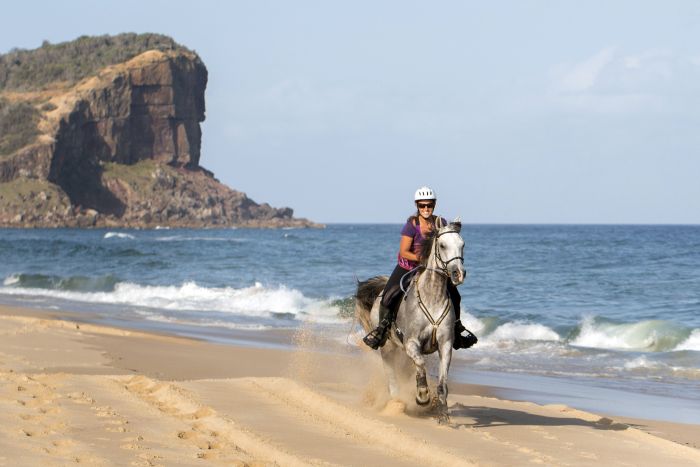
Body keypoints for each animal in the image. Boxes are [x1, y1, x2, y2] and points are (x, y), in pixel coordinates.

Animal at [356, 220, 464, 424]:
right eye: (442, 245)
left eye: (462, 245)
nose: (458, 274)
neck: (433, 296)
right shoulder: (411, 342)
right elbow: (420, 363)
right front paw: (422, 395)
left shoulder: (445, 344)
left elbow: (442, 382)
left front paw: (443, 415)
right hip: (388, 347)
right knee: (391, 376)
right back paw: (396, 403)